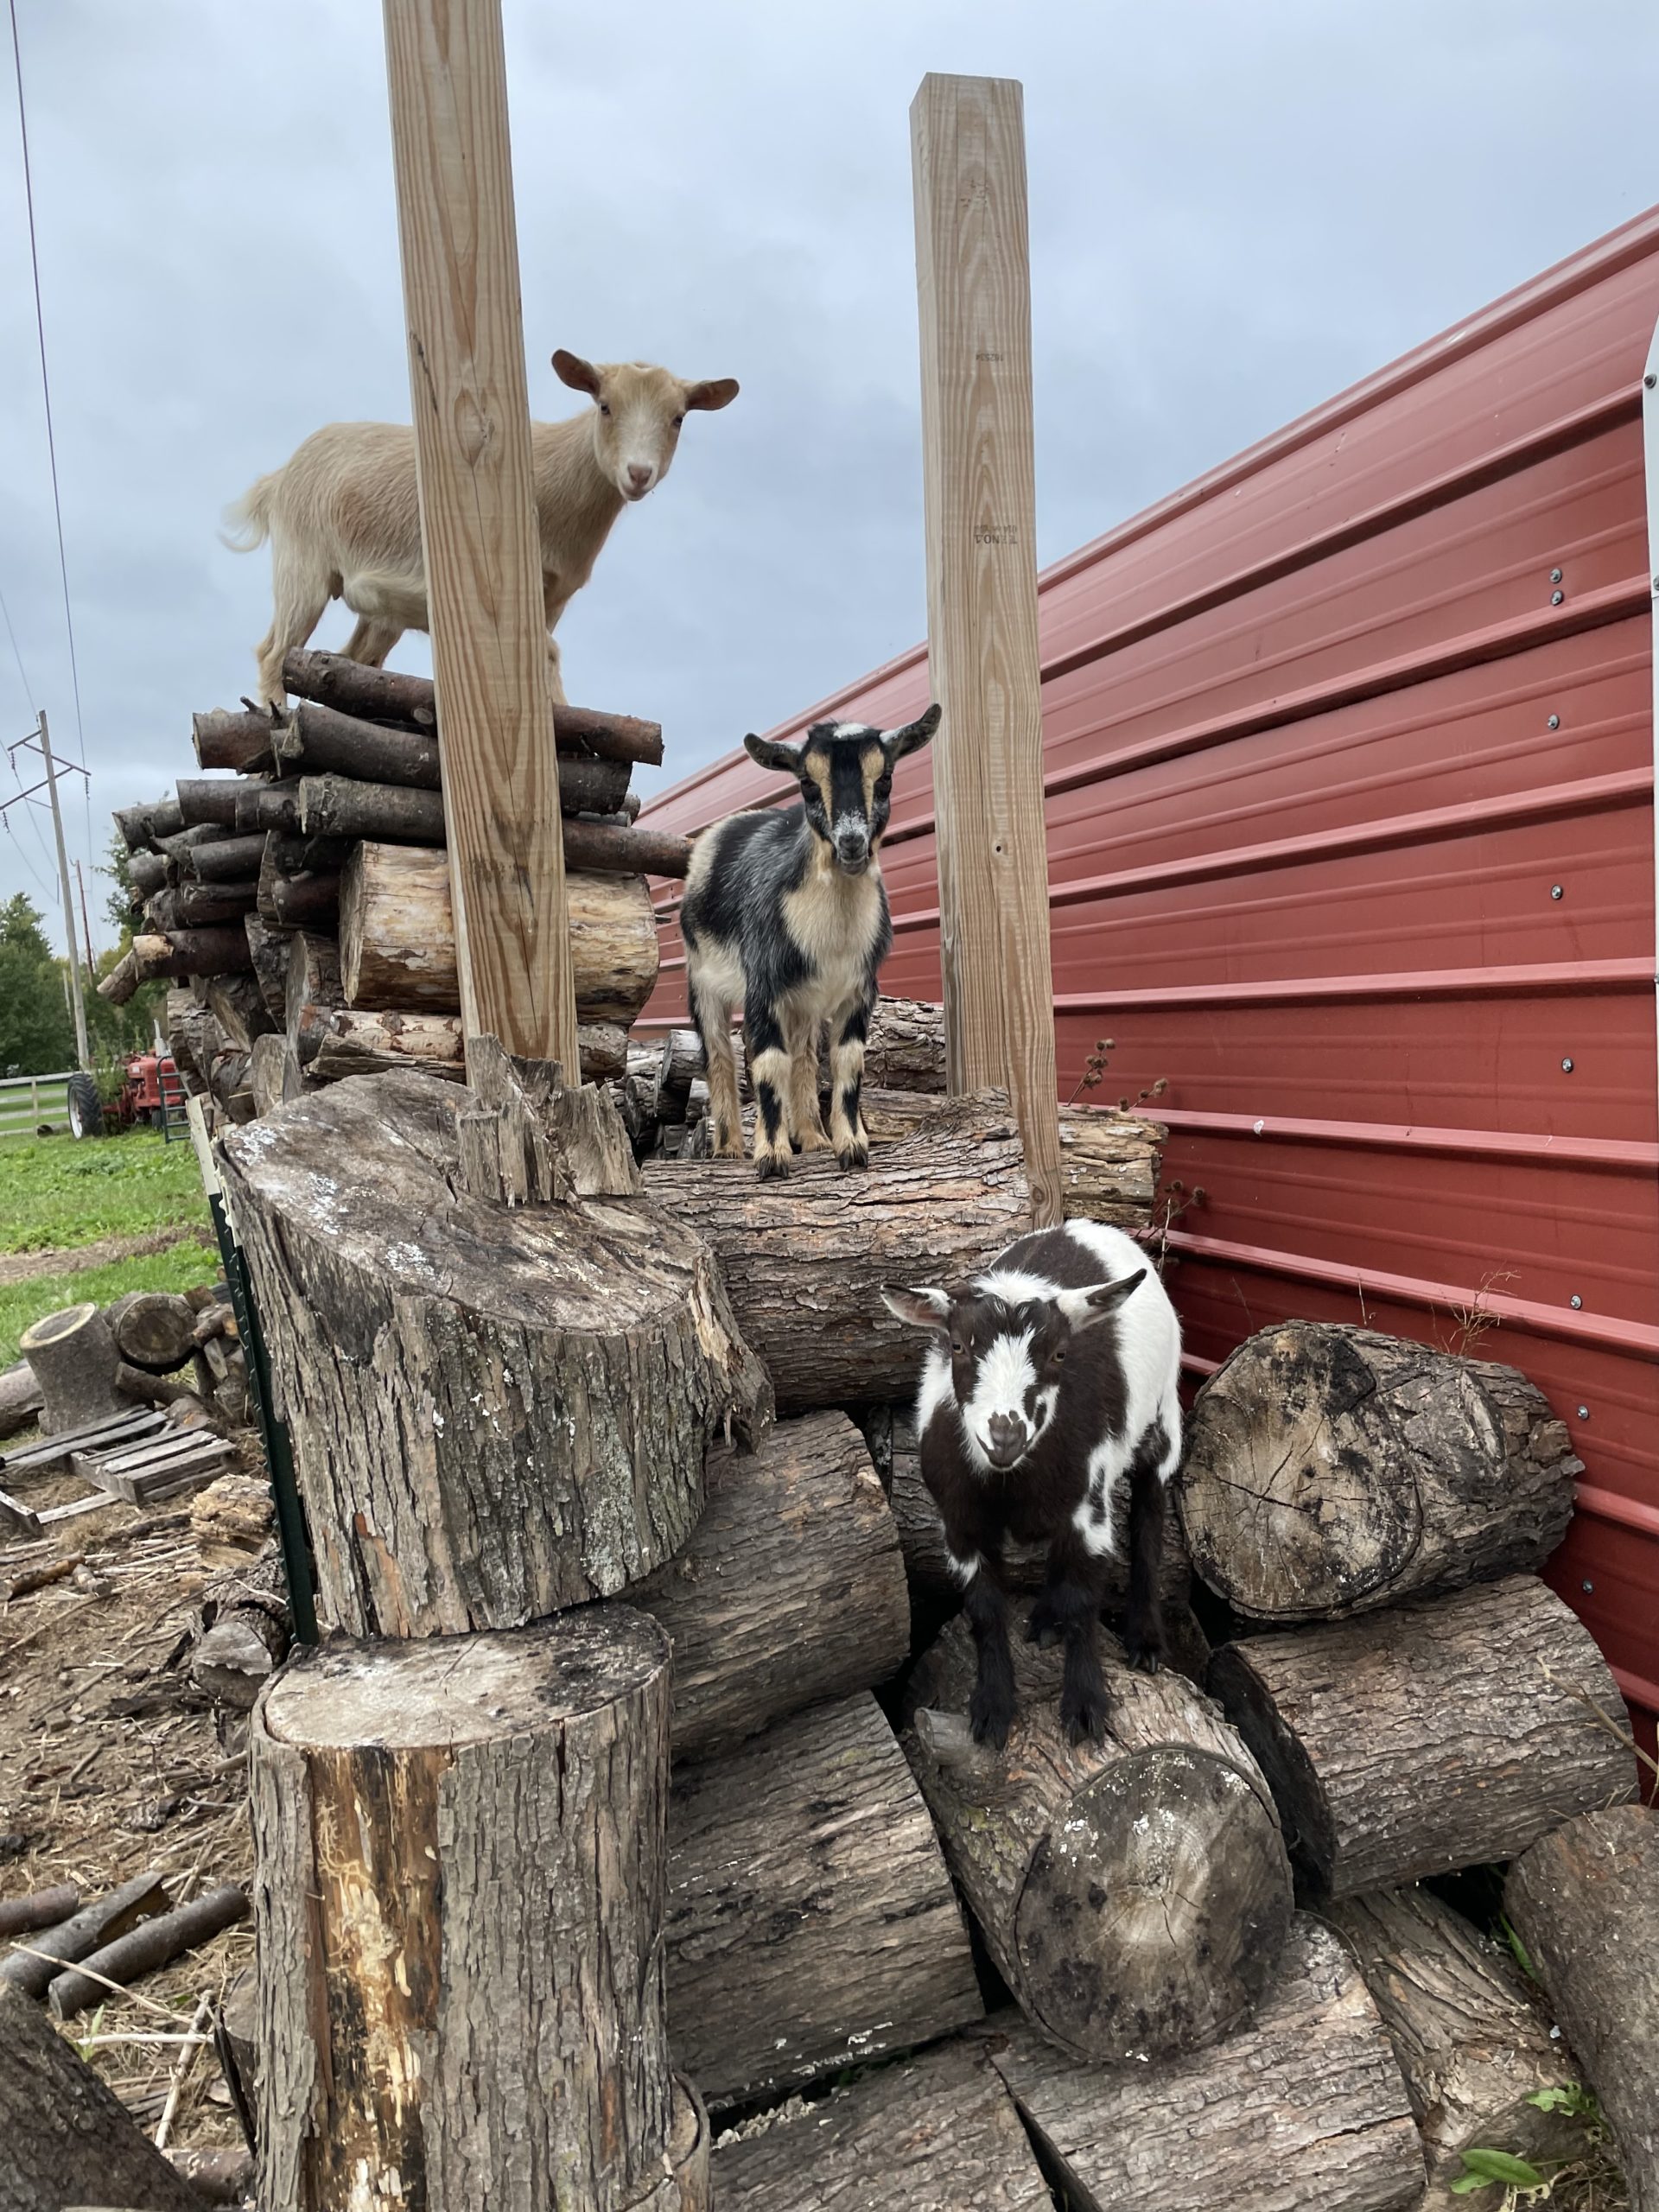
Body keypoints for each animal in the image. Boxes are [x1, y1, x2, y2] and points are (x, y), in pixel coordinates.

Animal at [224, 351, 739, 709]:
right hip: (302, 563)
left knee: (350, 658)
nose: (638, 473)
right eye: (605, 406)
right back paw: (274, 717)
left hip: (380, 611)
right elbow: (549, 654)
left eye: (678, 418)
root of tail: (278, 479)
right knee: (273, 651)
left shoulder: (553, 599)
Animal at [678, 707, 941, 1179]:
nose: (851, 843)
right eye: (806, 782)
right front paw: (771, 1157)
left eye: (886, 777)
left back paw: (813, 1137)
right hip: (701, 978)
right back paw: (729, 1149)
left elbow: (847, 1061)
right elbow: (767, 1062)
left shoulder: (859, 990)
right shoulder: (762, 984)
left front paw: (851, 1149)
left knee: (801, 1052)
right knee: (720, 1053)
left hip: (803, 1001)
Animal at [883, 1218, 1182, 1748]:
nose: (1004, 1435)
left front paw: (1085, 1706)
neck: (1010, 1478)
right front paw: (992, 1709)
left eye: (1060, 1353)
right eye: (957, 1346)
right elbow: (985, 1608)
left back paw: (1145, 1640)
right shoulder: (960, 1524)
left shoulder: (1090, 1507)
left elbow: (1084, 1600)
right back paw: (1045, 1620)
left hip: (1164, 1412)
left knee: (1149, 1515)